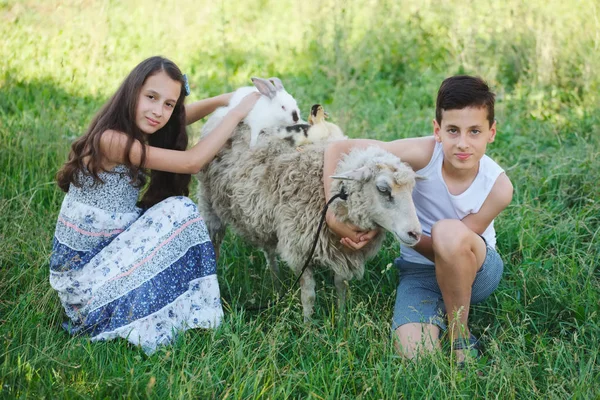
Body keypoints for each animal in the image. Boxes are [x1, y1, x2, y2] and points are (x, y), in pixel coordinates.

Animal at [197, 126, 422, 322]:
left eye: (412, 189)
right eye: (383, 189)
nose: (415, 234)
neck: (328, 191)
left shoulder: (343, 251)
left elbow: (341, 286)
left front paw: (342, 319)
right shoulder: (300, 249)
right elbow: (308, 295)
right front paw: (308, 326)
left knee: (269, 251)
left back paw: (276, 284)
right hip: (210, 206)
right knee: (214, 245)